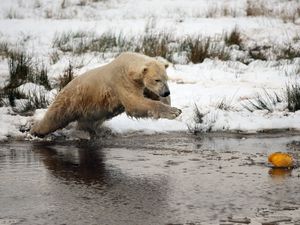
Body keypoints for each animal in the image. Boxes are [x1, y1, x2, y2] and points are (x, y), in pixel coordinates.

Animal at [29, 52, 180, 137]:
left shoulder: (138, 83)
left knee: (86, 123)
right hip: (71, 100)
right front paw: (175, 111)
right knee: (54, 118)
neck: (128, 67)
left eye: (166, 78)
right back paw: (35, 131)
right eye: (157, 79)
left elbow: (147, 96)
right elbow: (134, 104)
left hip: (88, 109)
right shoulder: (121, 81)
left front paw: (168, 102)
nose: (166, 92)